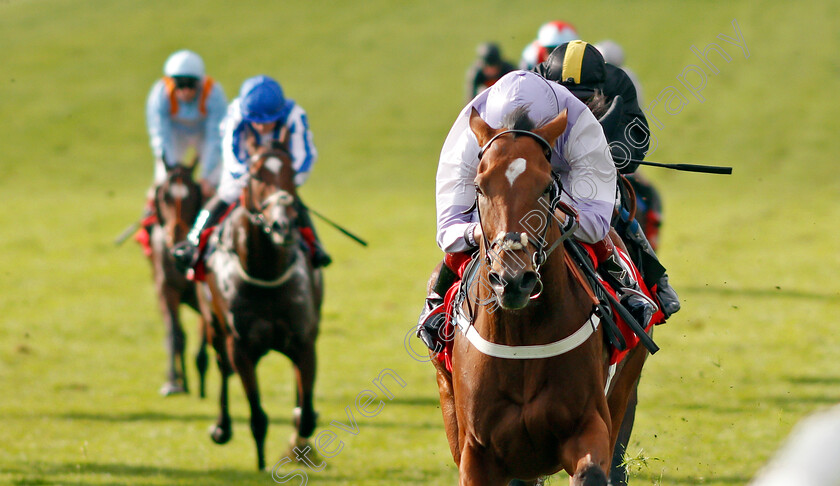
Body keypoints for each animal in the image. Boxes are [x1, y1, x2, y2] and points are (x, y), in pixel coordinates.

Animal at [148, 165, 208, 396]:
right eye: (164, 196)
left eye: (193, 196)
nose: (177, 235)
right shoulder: (166, 290)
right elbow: (175, 336)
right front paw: (173, 382)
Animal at [199, 135, 324, 468]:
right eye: (255, 175)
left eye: (291, 172)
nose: (283, 224)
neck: (266, 273)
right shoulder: (240, 347)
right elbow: (257, 417)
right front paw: (260, 464)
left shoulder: (303, 342)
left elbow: (305, 415)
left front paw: (299, 441)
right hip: (213, 327)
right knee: (221, 367)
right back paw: (222, 427)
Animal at [434, 109, 648, 486]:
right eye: (479, 186)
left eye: (547, 187)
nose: (513, 280)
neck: (521, 337)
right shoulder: (476, 452)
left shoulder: (588, 425)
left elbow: (592, 470)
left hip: (623, 385)